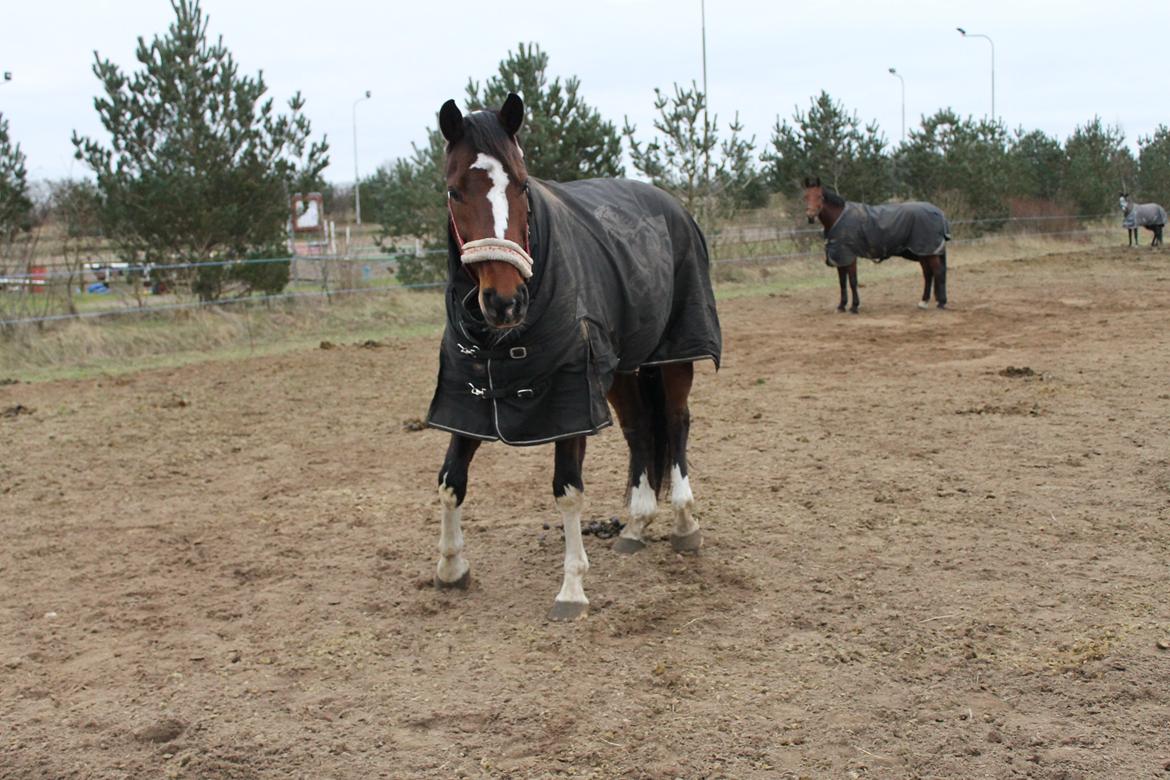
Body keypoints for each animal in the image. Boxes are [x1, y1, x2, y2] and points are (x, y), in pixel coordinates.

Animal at [425, 92, 720, 622]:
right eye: (456, 192)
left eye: (521, 185)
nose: (505, 301)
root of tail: (671, 204)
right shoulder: (470, 397)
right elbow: (450, 480)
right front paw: (451, 568)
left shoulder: (570, 402)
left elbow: (567, 490)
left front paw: (572, 589)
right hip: (622, 369)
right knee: (639, 429)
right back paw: (636, 526)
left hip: (673, 356)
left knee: (677, 421)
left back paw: (685, 523)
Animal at [800, 176, 954, 311]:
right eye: (805, 196)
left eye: (820, 196)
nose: (810, 216)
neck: (838, 218)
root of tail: (938, 212)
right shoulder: (840, 257)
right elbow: (842, 282)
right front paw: (842, 306)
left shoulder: (849, 256)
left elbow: (853, 281)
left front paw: (854, 306)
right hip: (923, 252)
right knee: (928, 274)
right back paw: (923, 302)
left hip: (928, 251)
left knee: (938, 272)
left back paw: (941, 302)